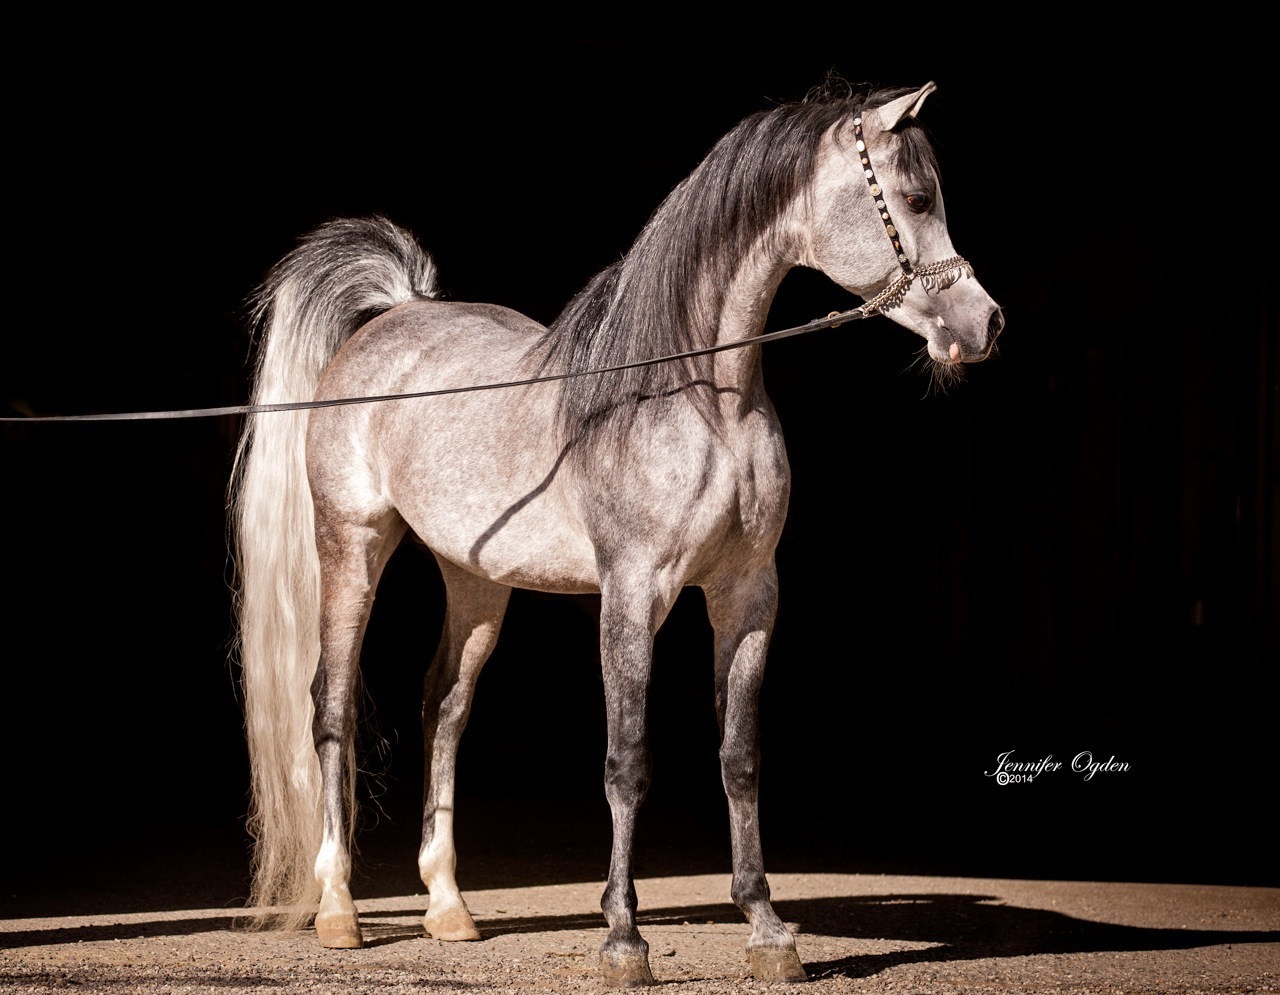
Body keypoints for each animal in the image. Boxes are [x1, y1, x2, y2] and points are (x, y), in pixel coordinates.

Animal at [229, 77, 1004, 986]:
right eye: (915, 198)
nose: (985, 325)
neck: (697, 396)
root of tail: (395, 317)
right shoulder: (633, 595)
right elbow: (627, 760)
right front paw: (624, 937)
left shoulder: (748, 596)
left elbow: (739, 756)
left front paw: (767, 927)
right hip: (352, 546)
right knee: (332, 705)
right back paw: (339, 908)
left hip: (476, 581)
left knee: (444, 707)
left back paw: (449, 907)